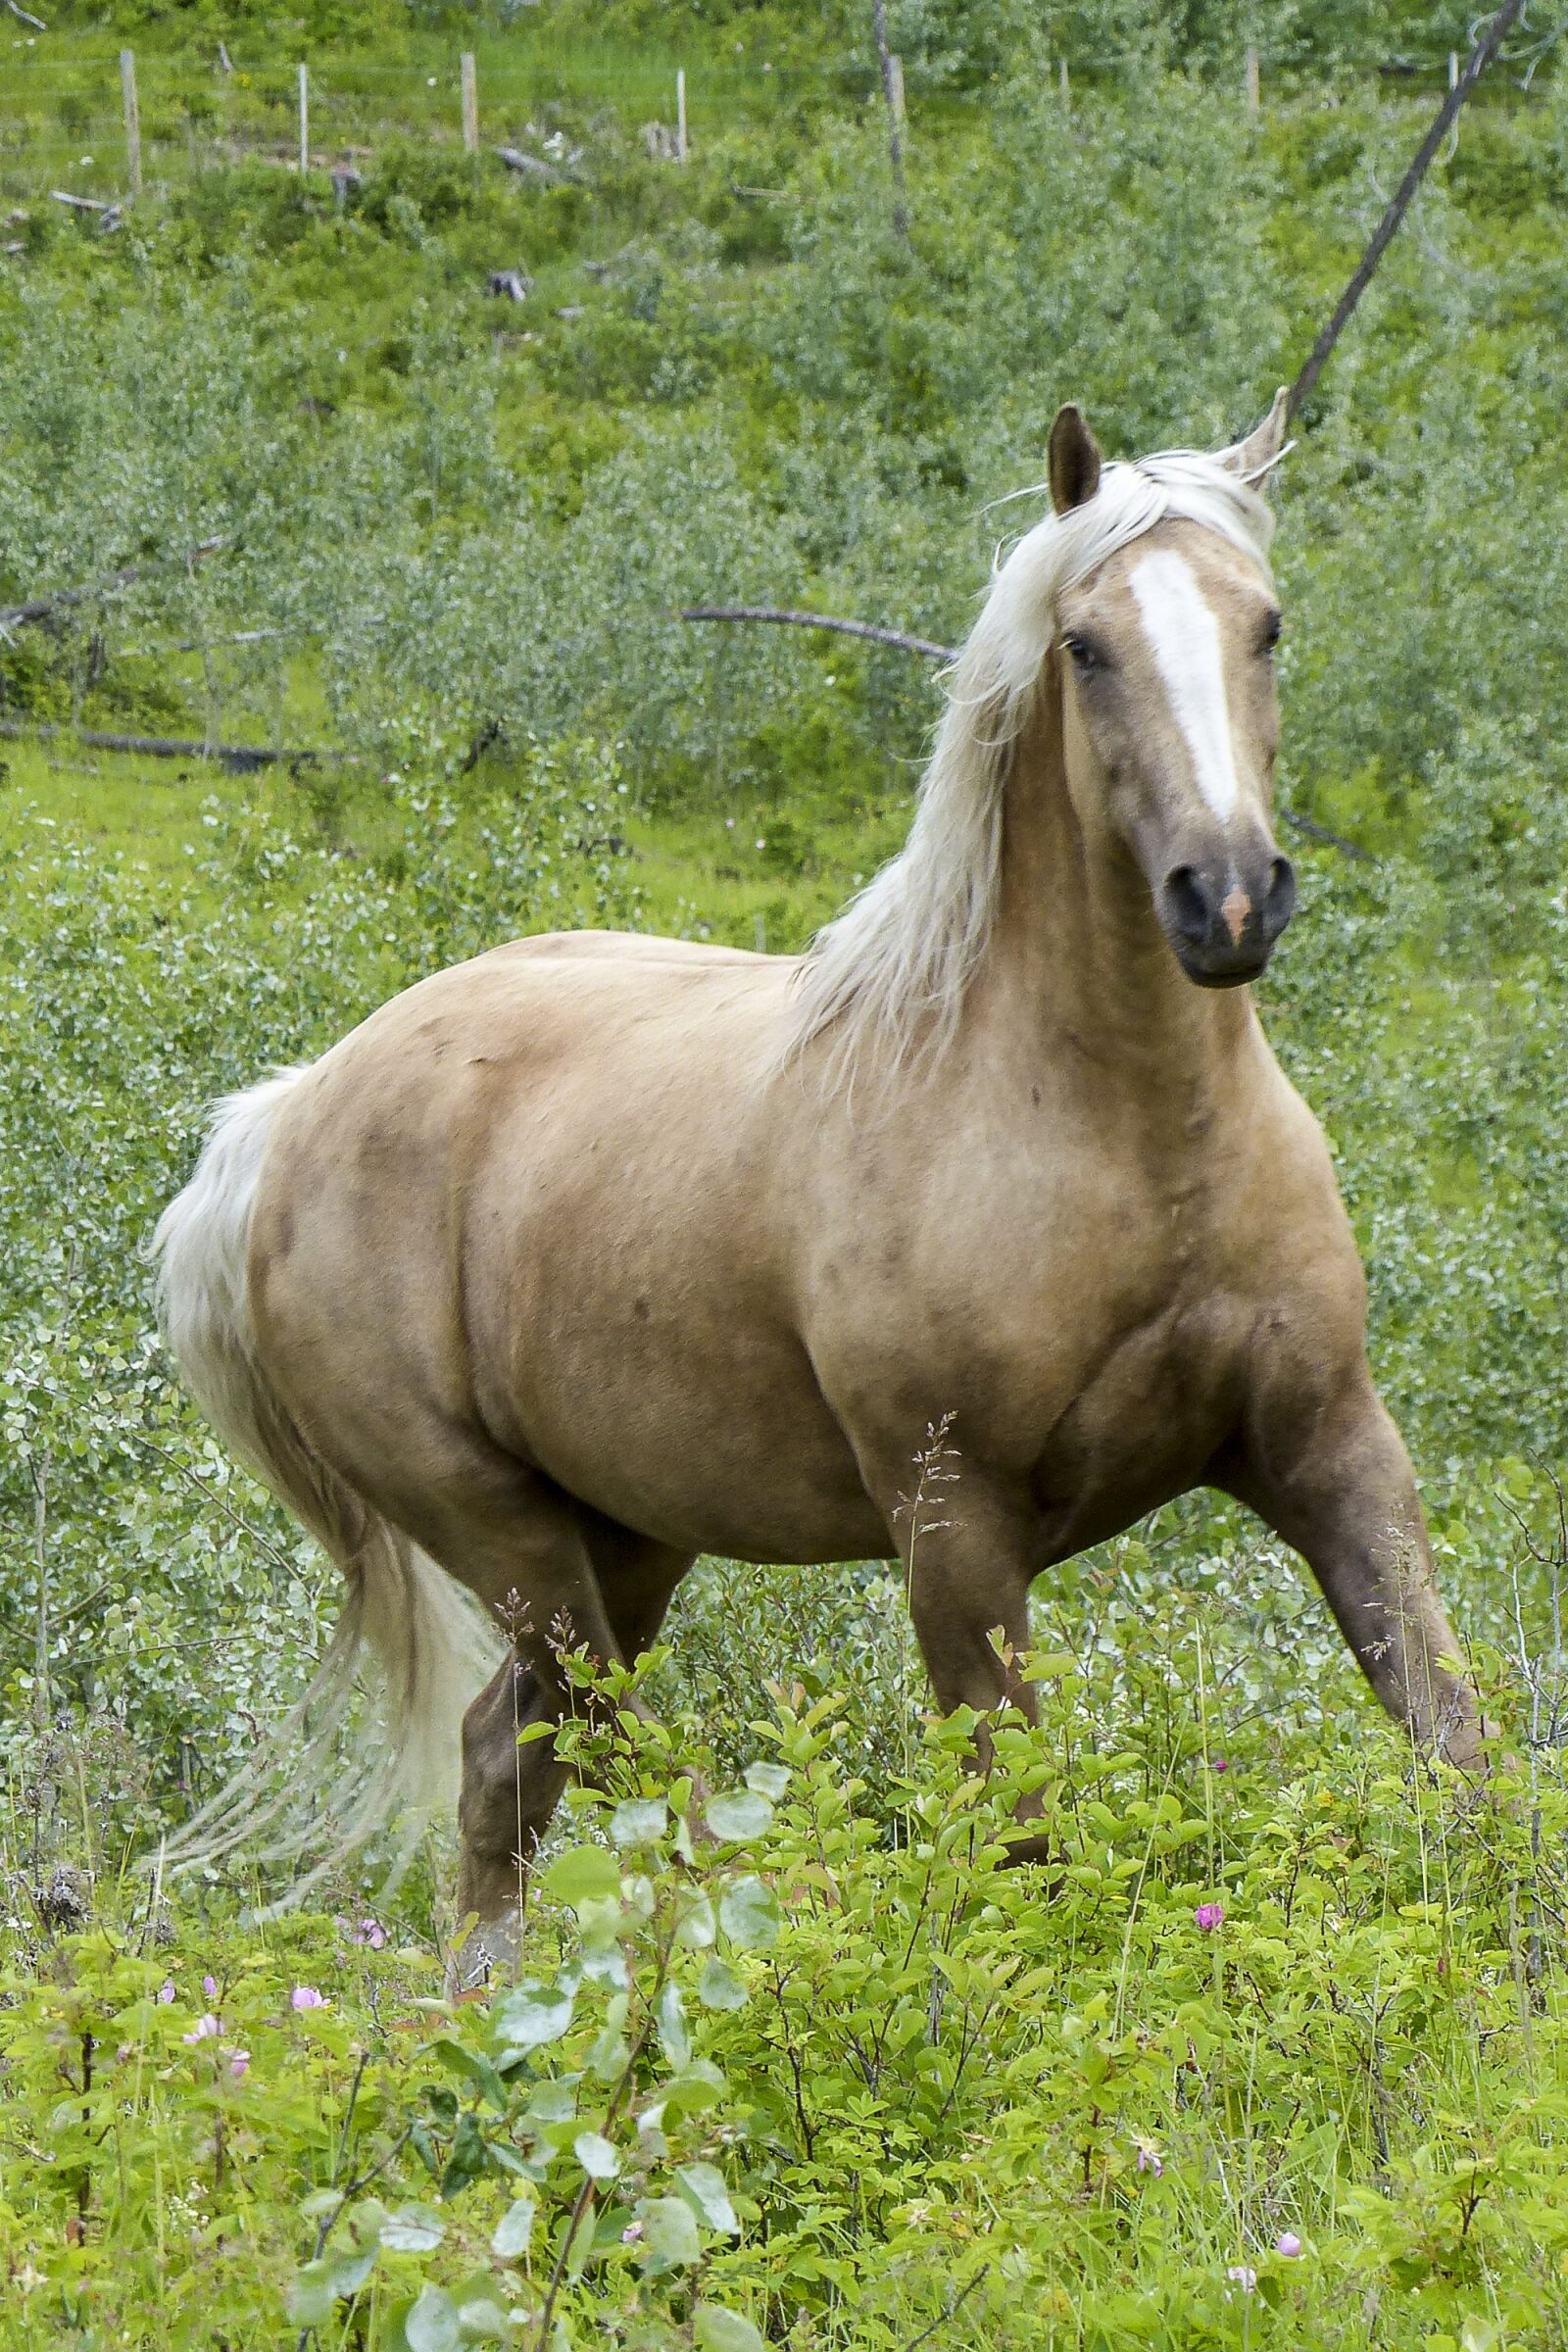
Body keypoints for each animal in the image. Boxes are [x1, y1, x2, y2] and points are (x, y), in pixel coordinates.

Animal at [154, 396, 1482, 1972]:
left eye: (1265, 625)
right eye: (1085, 645)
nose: (1225, 898)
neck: (1124, 1142)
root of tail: (289, 1115)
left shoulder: (1331, 1447)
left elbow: (1458, 1744)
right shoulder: (953, 1530)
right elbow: (1019, 1840)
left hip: (630, 1542)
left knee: (503, 1766)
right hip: (512, 1538)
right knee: (600, 1761)